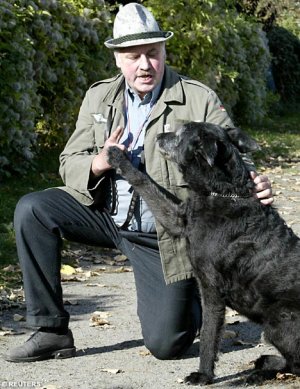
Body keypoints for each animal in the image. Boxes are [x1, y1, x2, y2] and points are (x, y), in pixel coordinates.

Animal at [107, 123, 300, 384]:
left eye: (180, 134)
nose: (158, 135)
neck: (222, 192)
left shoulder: (212, 290)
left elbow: (209, 336)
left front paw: (203, 375)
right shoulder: (177, 218)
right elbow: (145, 182)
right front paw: (119, 157)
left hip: (280, 321)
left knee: (297, 364)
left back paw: (257, 374)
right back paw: (264, 363)